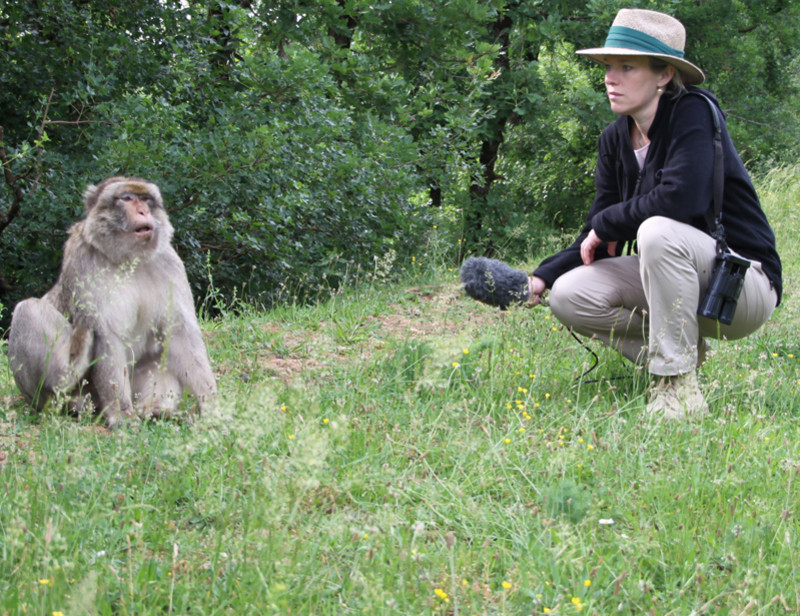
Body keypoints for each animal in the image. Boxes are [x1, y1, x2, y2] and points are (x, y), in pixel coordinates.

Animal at [7, 176, 219, 426]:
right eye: (127, 198)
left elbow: (181, 333)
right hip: (58, 394)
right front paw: (122, 413)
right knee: (28, 309)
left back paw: (153, 409)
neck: (129, 258)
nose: (143, 210)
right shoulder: (84, 261)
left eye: (145, 199)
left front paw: (212, 405)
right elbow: (107, 334)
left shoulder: (169, 263)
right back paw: (65, 381)